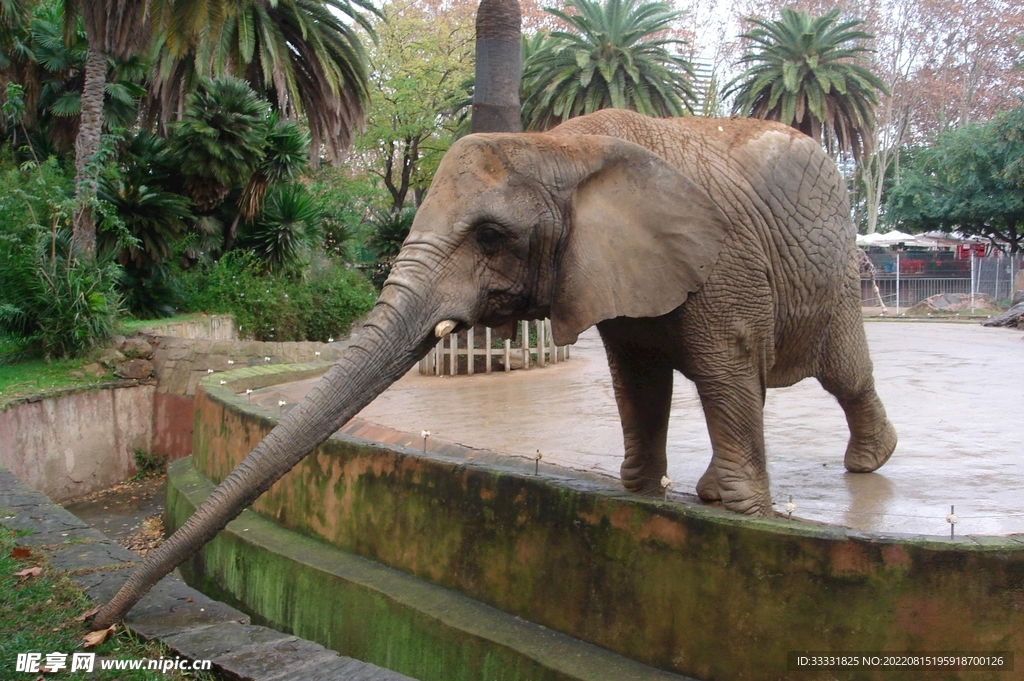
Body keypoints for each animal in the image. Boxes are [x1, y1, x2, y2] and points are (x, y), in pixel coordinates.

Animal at [91, 109, 896, 628]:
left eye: (488, 236)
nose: (96, 623)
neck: (561, 145)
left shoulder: (720, 260)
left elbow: (723, 363)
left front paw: (747, 518)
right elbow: (637, 376)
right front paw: (646, 496)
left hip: (833, 267)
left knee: (841, 371)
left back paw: (866, 462)